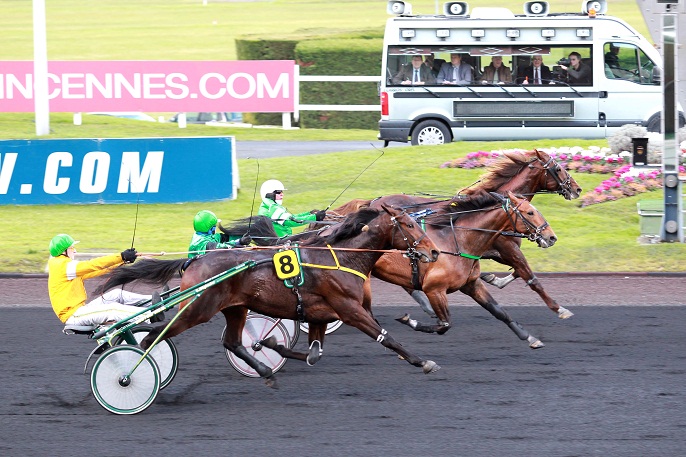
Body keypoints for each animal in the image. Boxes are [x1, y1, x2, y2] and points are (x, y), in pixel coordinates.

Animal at [95, 205, 440, 386]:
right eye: (408, 225)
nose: (434, 252)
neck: (341, 256)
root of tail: (194, 261)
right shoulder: (349, 309)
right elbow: (386, 337)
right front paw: (422, 361)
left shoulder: (319, 314)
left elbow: (313, 354)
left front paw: (273, 344)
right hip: (197, 309)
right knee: (152, 335)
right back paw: (128, 370)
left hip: (235, 308)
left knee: (232, 341)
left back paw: (263, 371)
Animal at [326, 149, 584, 318]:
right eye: (558, 168)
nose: (577, 189)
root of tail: (374, 201)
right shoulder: (507, 247)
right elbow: (530, 276)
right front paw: (560, 309)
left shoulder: (494, 250)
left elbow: (516, 273)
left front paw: (493, 279)